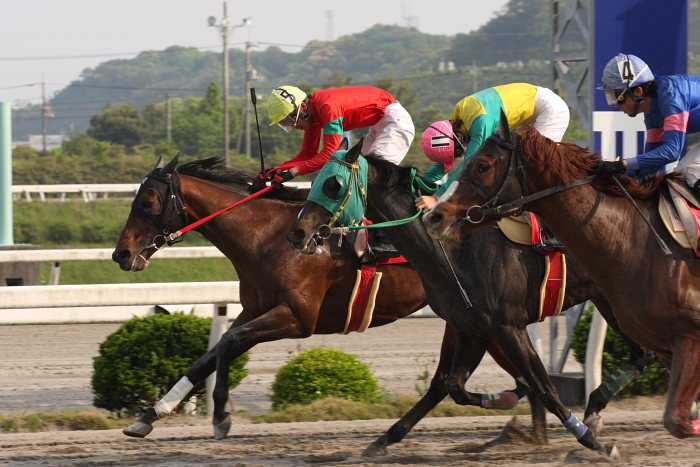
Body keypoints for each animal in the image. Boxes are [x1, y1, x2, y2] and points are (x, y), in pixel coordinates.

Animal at [113, 154, 540, 446]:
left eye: (148, 202)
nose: (121, 254)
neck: (266, 235)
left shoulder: (297, 319)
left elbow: (228, 344)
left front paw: (220, 417)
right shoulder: (255, 309)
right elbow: (211, 354)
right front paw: (149, 415)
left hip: (484, 319)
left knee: (522, 372)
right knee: (511, 374)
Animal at [284, 142, 652, 458]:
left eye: (332, 184)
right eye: (315, 181)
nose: (298, 233)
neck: (452, 250)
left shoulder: (507, 326)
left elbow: (545, 387)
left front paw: (594, 443)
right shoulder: (472, 327)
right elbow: (453, 386)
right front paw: (508, 399)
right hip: (608, 300)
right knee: (642, 355)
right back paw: (595, 407)